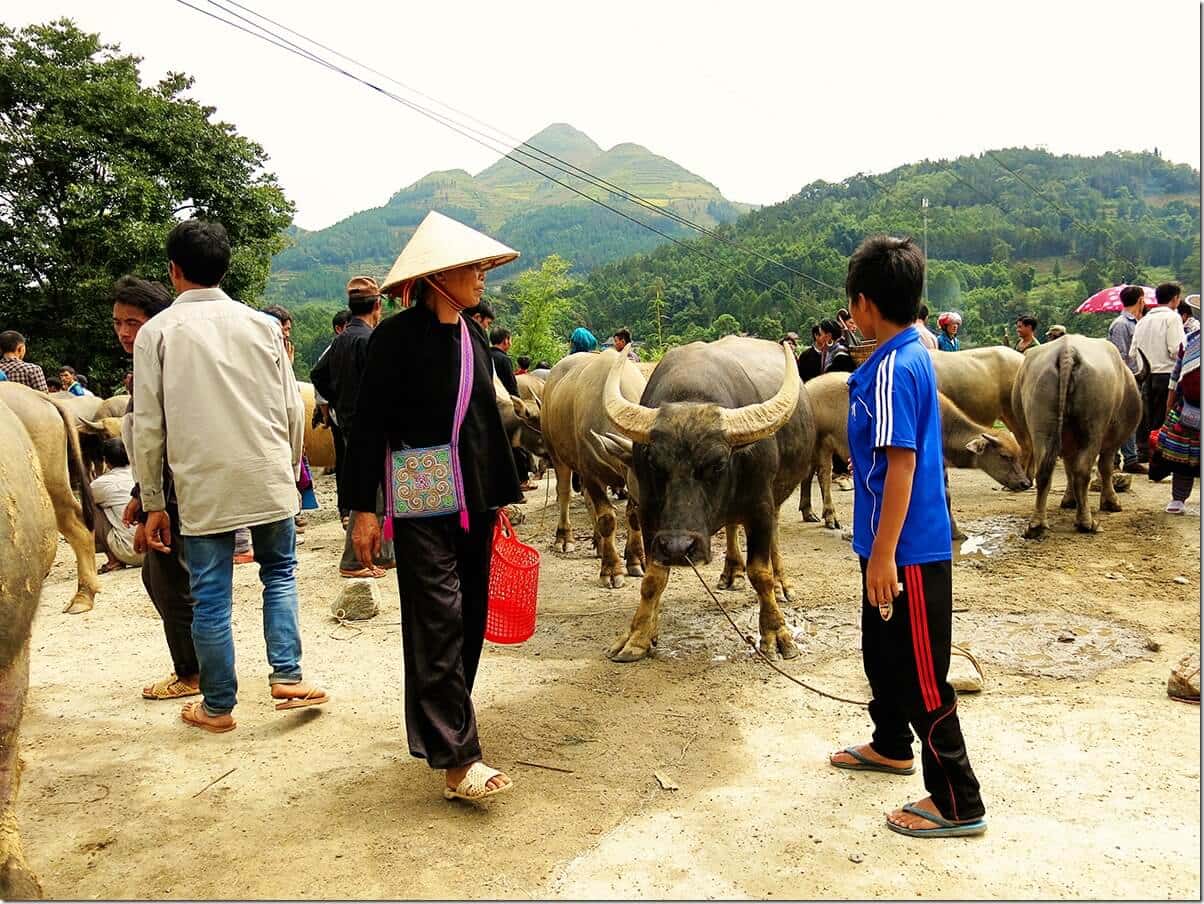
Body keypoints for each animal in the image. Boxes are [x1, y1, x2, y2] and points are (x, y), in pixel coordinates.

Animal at [539, 349, 645, 589]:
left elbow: (633, 515)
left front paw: (635, 559)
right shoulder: (590, 473)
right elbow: (606, 518)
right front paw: (611, 570)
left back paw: (598, 543)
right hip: (557, 455)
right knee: (565, 494)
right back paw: (564, 538)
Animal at [804, 370, 1030, 534]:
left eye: (1019, 456)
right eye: (1005, 457)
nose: (1025, 483)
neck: (944, 426)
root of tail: (808, 387)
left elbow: (945, 493)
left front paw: (954, 532)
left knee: (807, 474)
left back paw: (808, 513)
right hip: (822, 442)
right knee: (823, 476)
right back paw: (830, 516)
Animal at [1016, 337, 1136, 536]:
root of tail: (1067, 352)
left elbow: (1068, 468)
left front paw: (1069, 501)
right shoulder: (1112, 441)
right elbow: (1105, 467)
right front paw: (1111, 503)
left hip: (1040, 418)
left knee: (1045, 471)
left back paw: (1037, 524)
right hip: (1093, 427)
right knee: (1083, 471)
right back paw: (1086, 522)